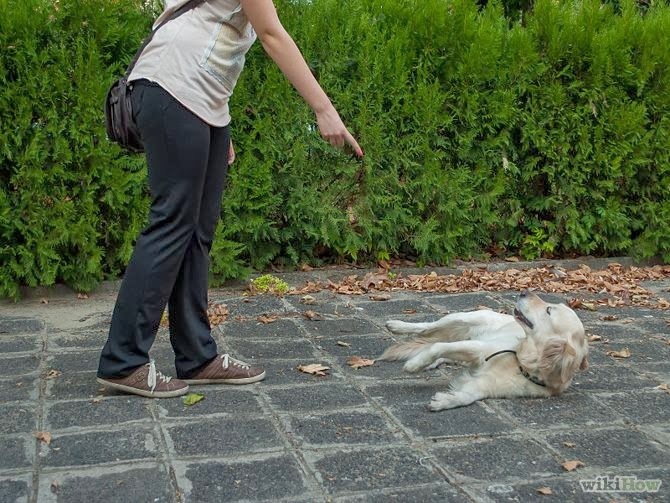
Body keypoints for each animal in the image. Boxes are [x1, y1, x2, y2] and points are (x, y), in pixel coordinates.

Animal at [379, 291, 589, 411]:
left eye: (548, 311)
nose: (523, 292)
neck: (523, 364)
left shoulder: (488, 384)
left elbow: (468, 396)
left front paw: (445, 400)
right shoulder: (479, 348)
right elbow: (439, 347)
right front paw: (414, 365)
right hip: (462, 318)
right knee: (427, 329)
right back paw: (398, 326)